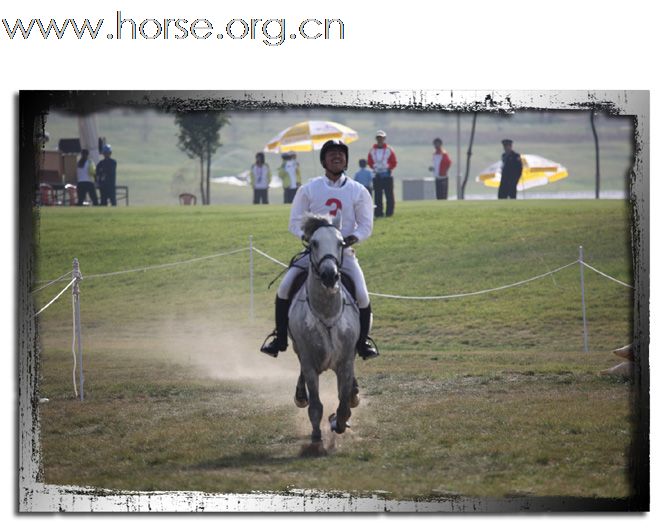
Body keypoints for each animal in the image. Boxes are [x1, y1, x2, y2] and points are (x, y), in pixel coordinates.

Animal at [288, 210, 360, 450]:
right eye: (314, 243)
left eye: (340, 243)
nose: (330, 275)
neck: (327, 313)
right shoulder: (309, 364)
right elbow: (316, 405)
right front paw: (317, 436)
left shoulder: (345, 363)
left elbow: (343, 405)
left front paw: (337, 422)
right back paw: (301, 395)